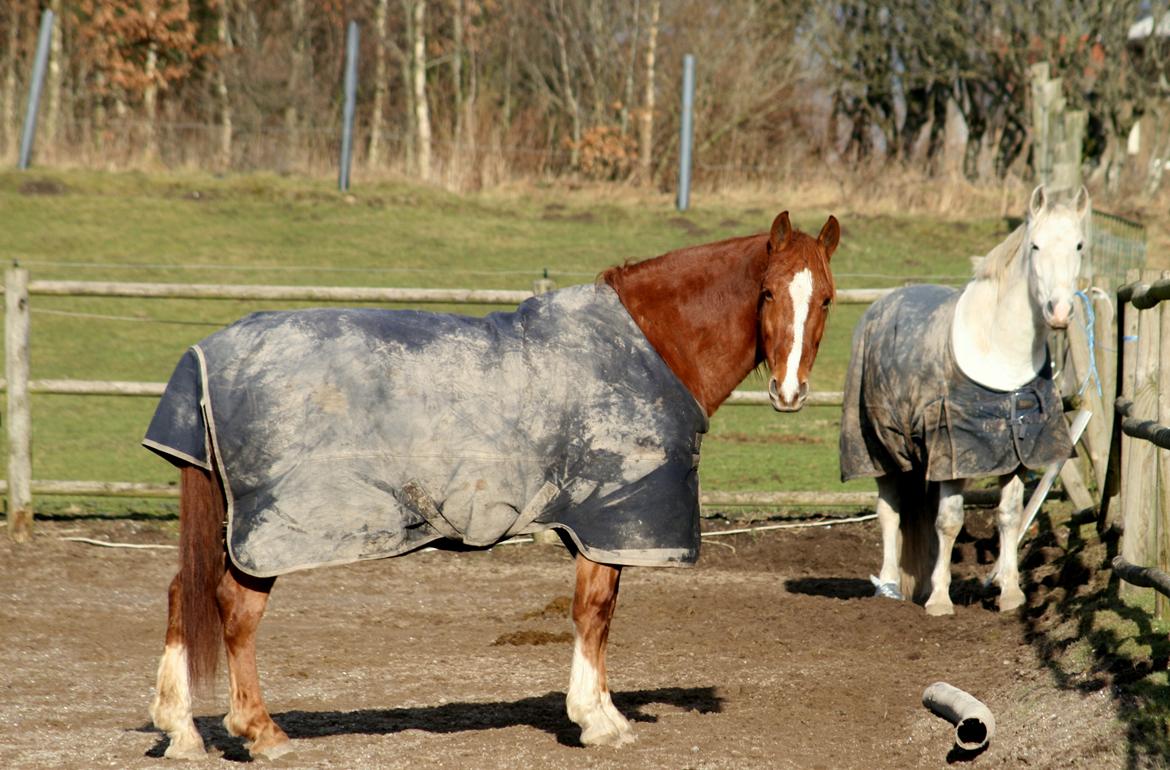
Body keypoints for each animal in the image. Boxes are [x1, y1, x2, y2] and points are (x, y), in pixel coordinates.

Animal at [150, 211, 837, 753]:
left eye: (827, 298)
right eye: (768, 292)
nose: (790, 392)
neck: (650, 344)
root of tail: (201, 356)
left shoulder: (600, 522)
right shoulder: (608, 517)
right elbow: (595, 612)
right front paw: (599, 720)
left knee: (185, 592)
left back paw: (181, 729)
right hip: (267, 535)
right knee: (235, 610)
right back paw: (260, 731)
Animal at [842, 184, 1085, 613]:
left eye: (1079, 245)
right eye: (1035, 246)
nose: (1059, 311)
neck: (999, 351)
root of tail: (880, 305)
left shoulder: (1016, 451)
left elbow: (1009, 515)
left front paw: (1011, 593)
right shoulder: (954, 449)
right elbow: (950, 521)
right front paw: (940, 600)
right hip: (881, 448)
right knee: (889, 512)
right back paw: (888, 588)